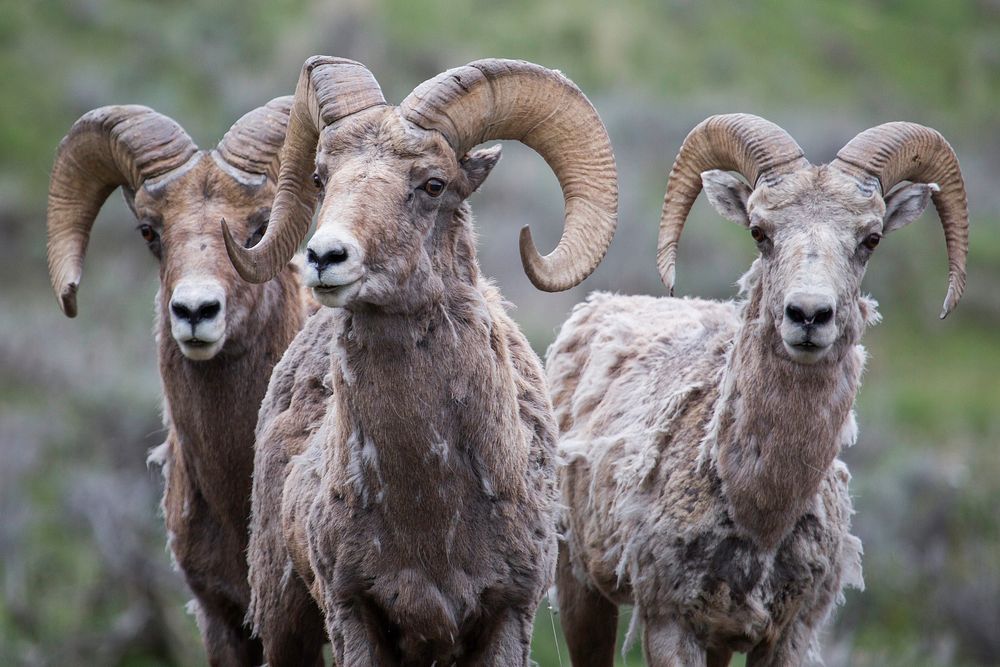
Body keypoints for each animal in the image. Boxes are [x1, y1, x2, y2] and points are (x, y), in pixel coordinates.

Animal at [224, 58, 616, 667]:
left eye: (433, 184)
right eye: (321, 178)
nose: (324, 258)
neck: (429, 513)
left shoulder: (507, 617)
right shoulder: (354, 615)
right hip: (284, 621)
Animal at [552, 115, 964, 667]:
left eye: (871, 239)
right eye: (758, 231)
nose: (808, 315)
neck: (759, 510)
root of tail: (596, 305)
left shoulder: (788, 635)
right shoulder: (670, 625)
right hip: (579, 586)